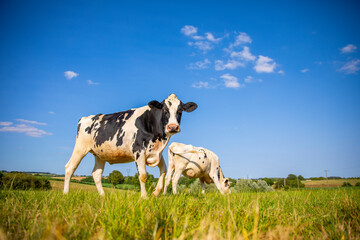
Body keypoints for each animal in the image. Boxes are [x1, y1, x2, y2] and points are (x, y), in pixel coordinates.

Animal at [62, 94, 197, 197]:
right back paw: (66, 193)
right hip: (80, 148)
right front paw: (144, 197)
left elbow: (163, 171)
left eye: (180, 110)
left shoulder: (157, 153)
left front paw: (156, 192)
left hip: (100, 154)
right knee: (70, 167)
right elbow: (143, 176)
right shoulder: (139, 151)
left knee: (96, 174)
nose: (173, 127)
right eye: (164, 110)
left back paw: (103, 196)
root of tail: (87, 117)